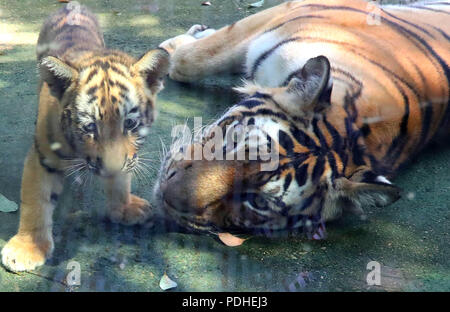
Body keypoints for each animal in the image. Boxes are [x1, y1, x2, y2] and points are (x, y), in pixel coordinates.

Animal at [0, 5, 170, 272]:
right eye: (89, 126)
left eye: (130, 123)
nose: (109, 169)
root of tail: (70, 5)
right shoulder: (42, 158)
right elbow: (36, 201)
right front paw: (27, 248)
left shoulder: (126, 158)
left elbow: (121, 180)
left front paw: (124, 208)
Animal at [156, 0, 450, 235]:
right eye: (235, 138)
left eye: (256, 202)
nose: (166, 196)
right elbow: (193, 58)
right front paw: (171, 48)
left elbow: (187, 61)